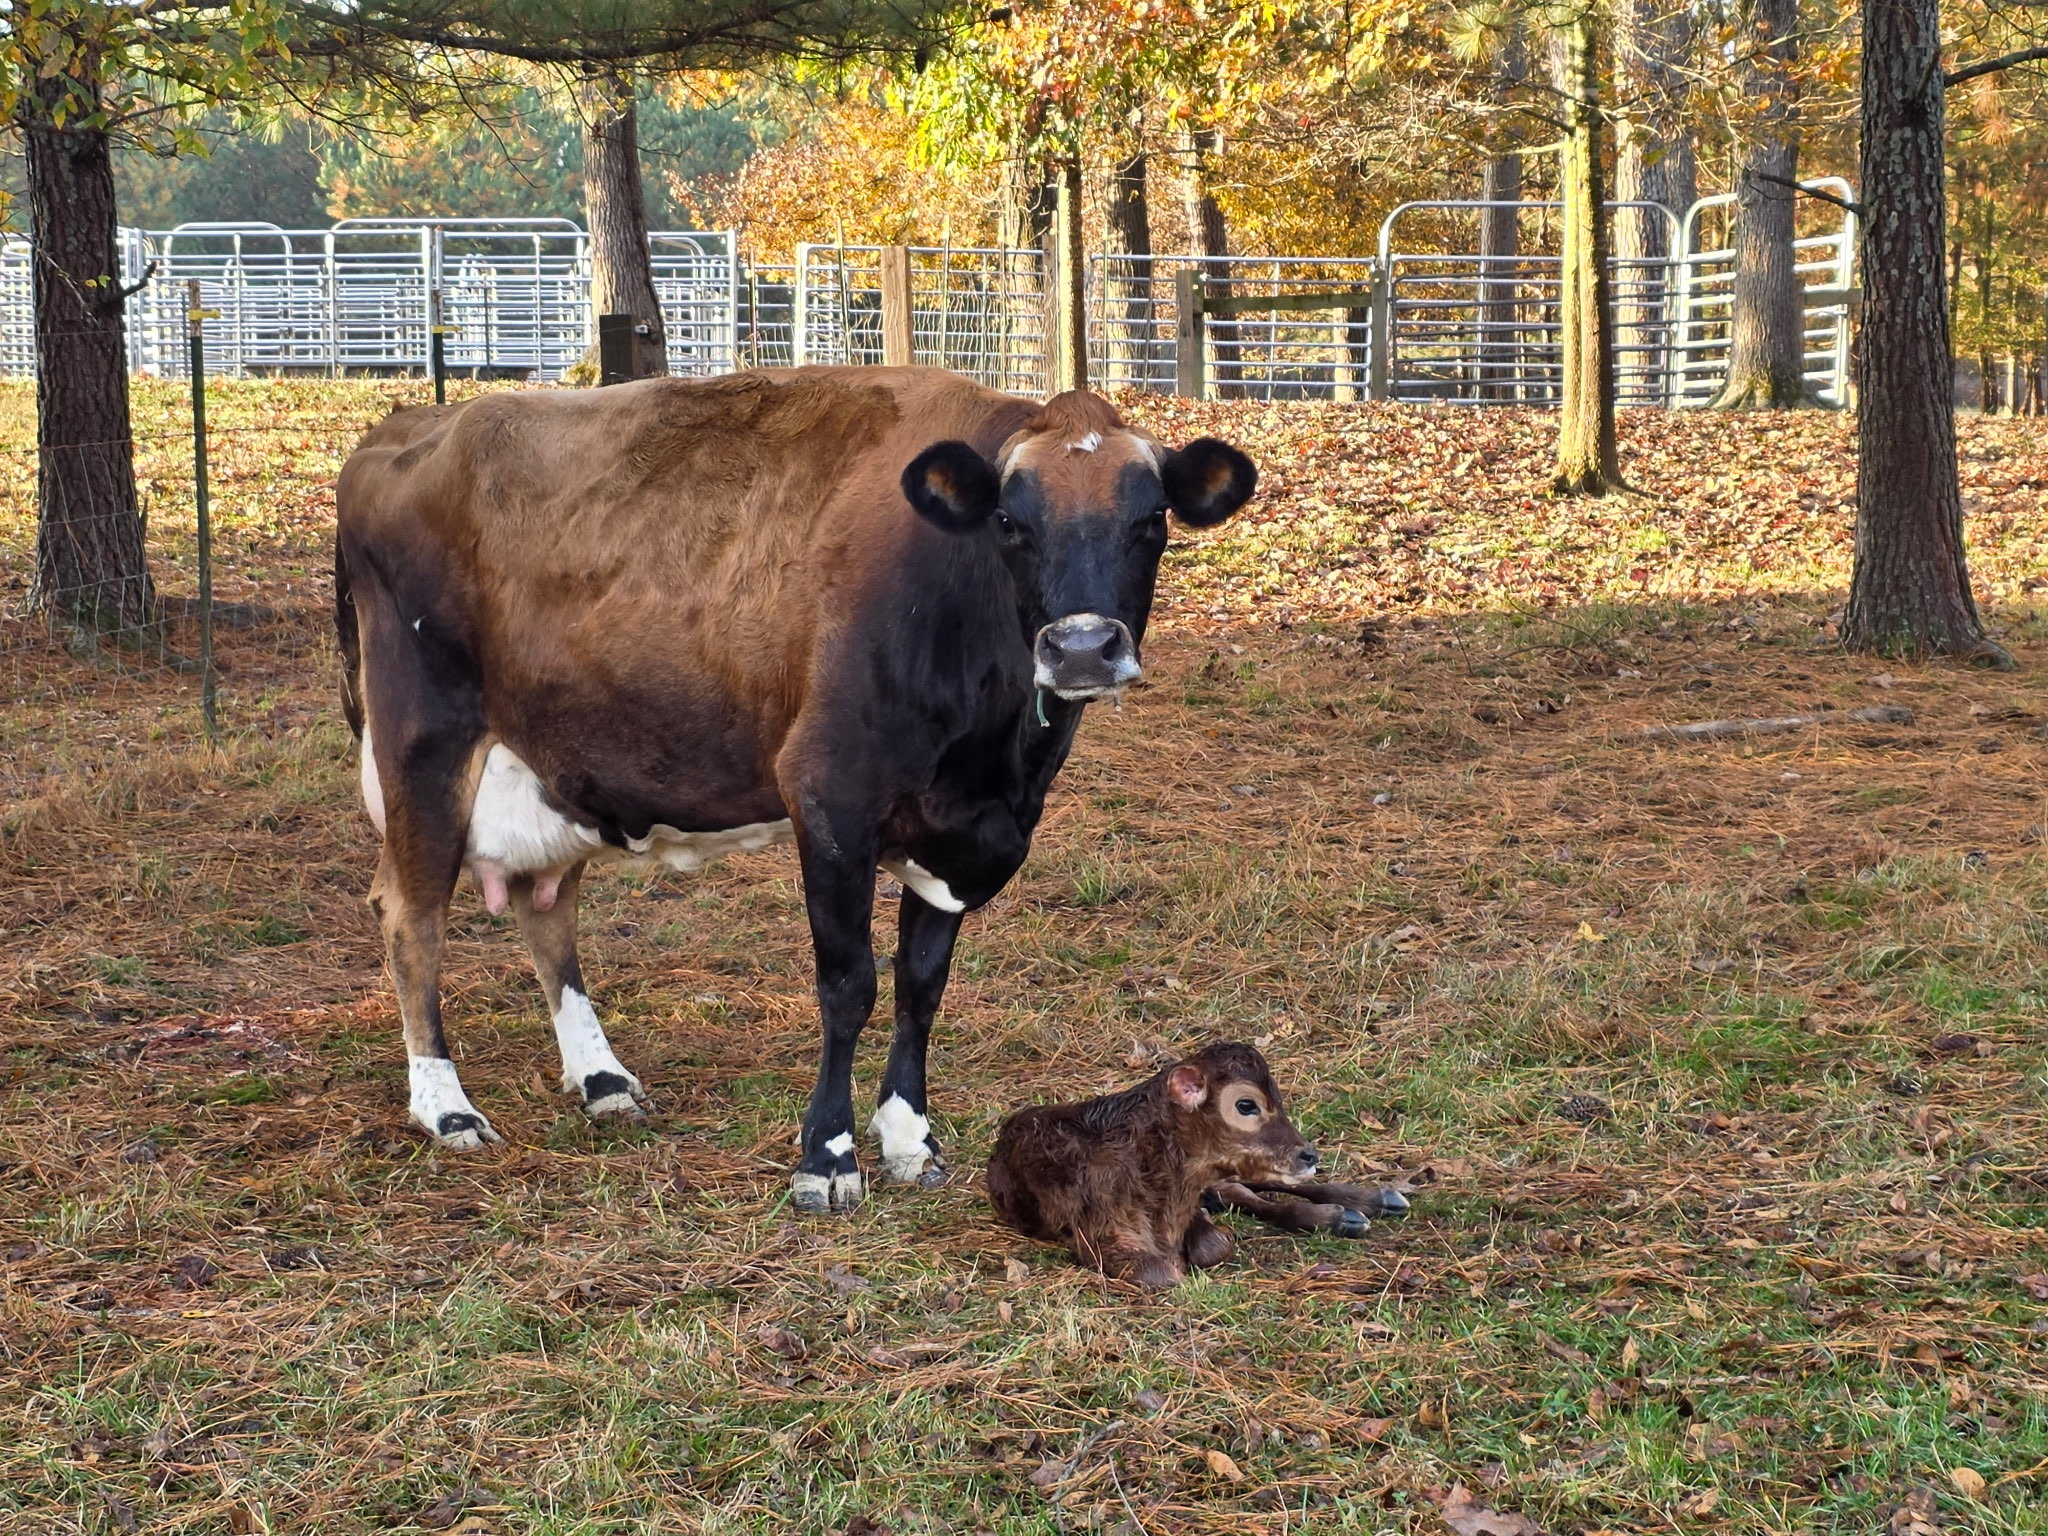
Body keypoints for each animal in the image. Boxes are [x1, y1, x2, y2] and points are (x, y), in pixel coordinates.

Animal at [333, 366, 1256, 1212]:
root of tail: (413, 422)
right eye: (1008, 521)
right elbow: (849, 985)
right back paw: (445, 1105)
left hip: (558, 759)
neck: (996, 763)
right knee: (411, 915)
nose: (1082, 648)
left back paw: (601, 1078)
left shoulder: (960, 836)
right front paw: (829, 1154)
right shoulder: (829, 795)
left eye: (1151, 520)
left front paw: (909, 1137)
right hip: (424, 739)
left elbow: (922, 984)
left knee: (543, 904)